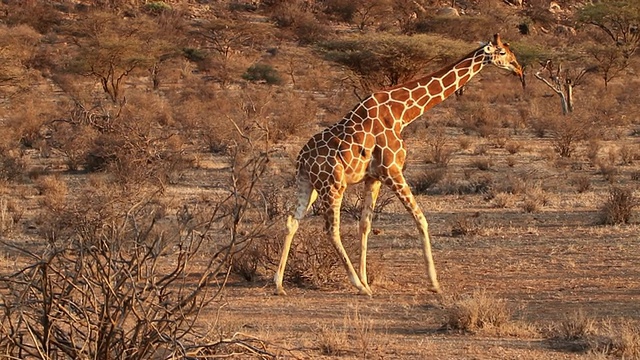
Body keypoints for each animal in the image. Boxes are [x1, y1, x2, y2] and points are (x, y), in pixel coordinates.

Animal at [272, 33, 524, 296]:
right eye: (503, 52)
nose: (519, 69)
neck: (402, 113)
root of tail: (301, 159)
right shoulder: (392, 171)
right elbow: (420, 218)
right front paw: (434, 282)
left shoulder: (373, 178)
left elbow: (365, 225)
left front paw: (366, 278)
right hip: (332, 185)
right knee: (331, 230)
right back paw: (357, 286)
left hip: (309, 184)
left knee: (292, 221)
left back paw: (279, 284)